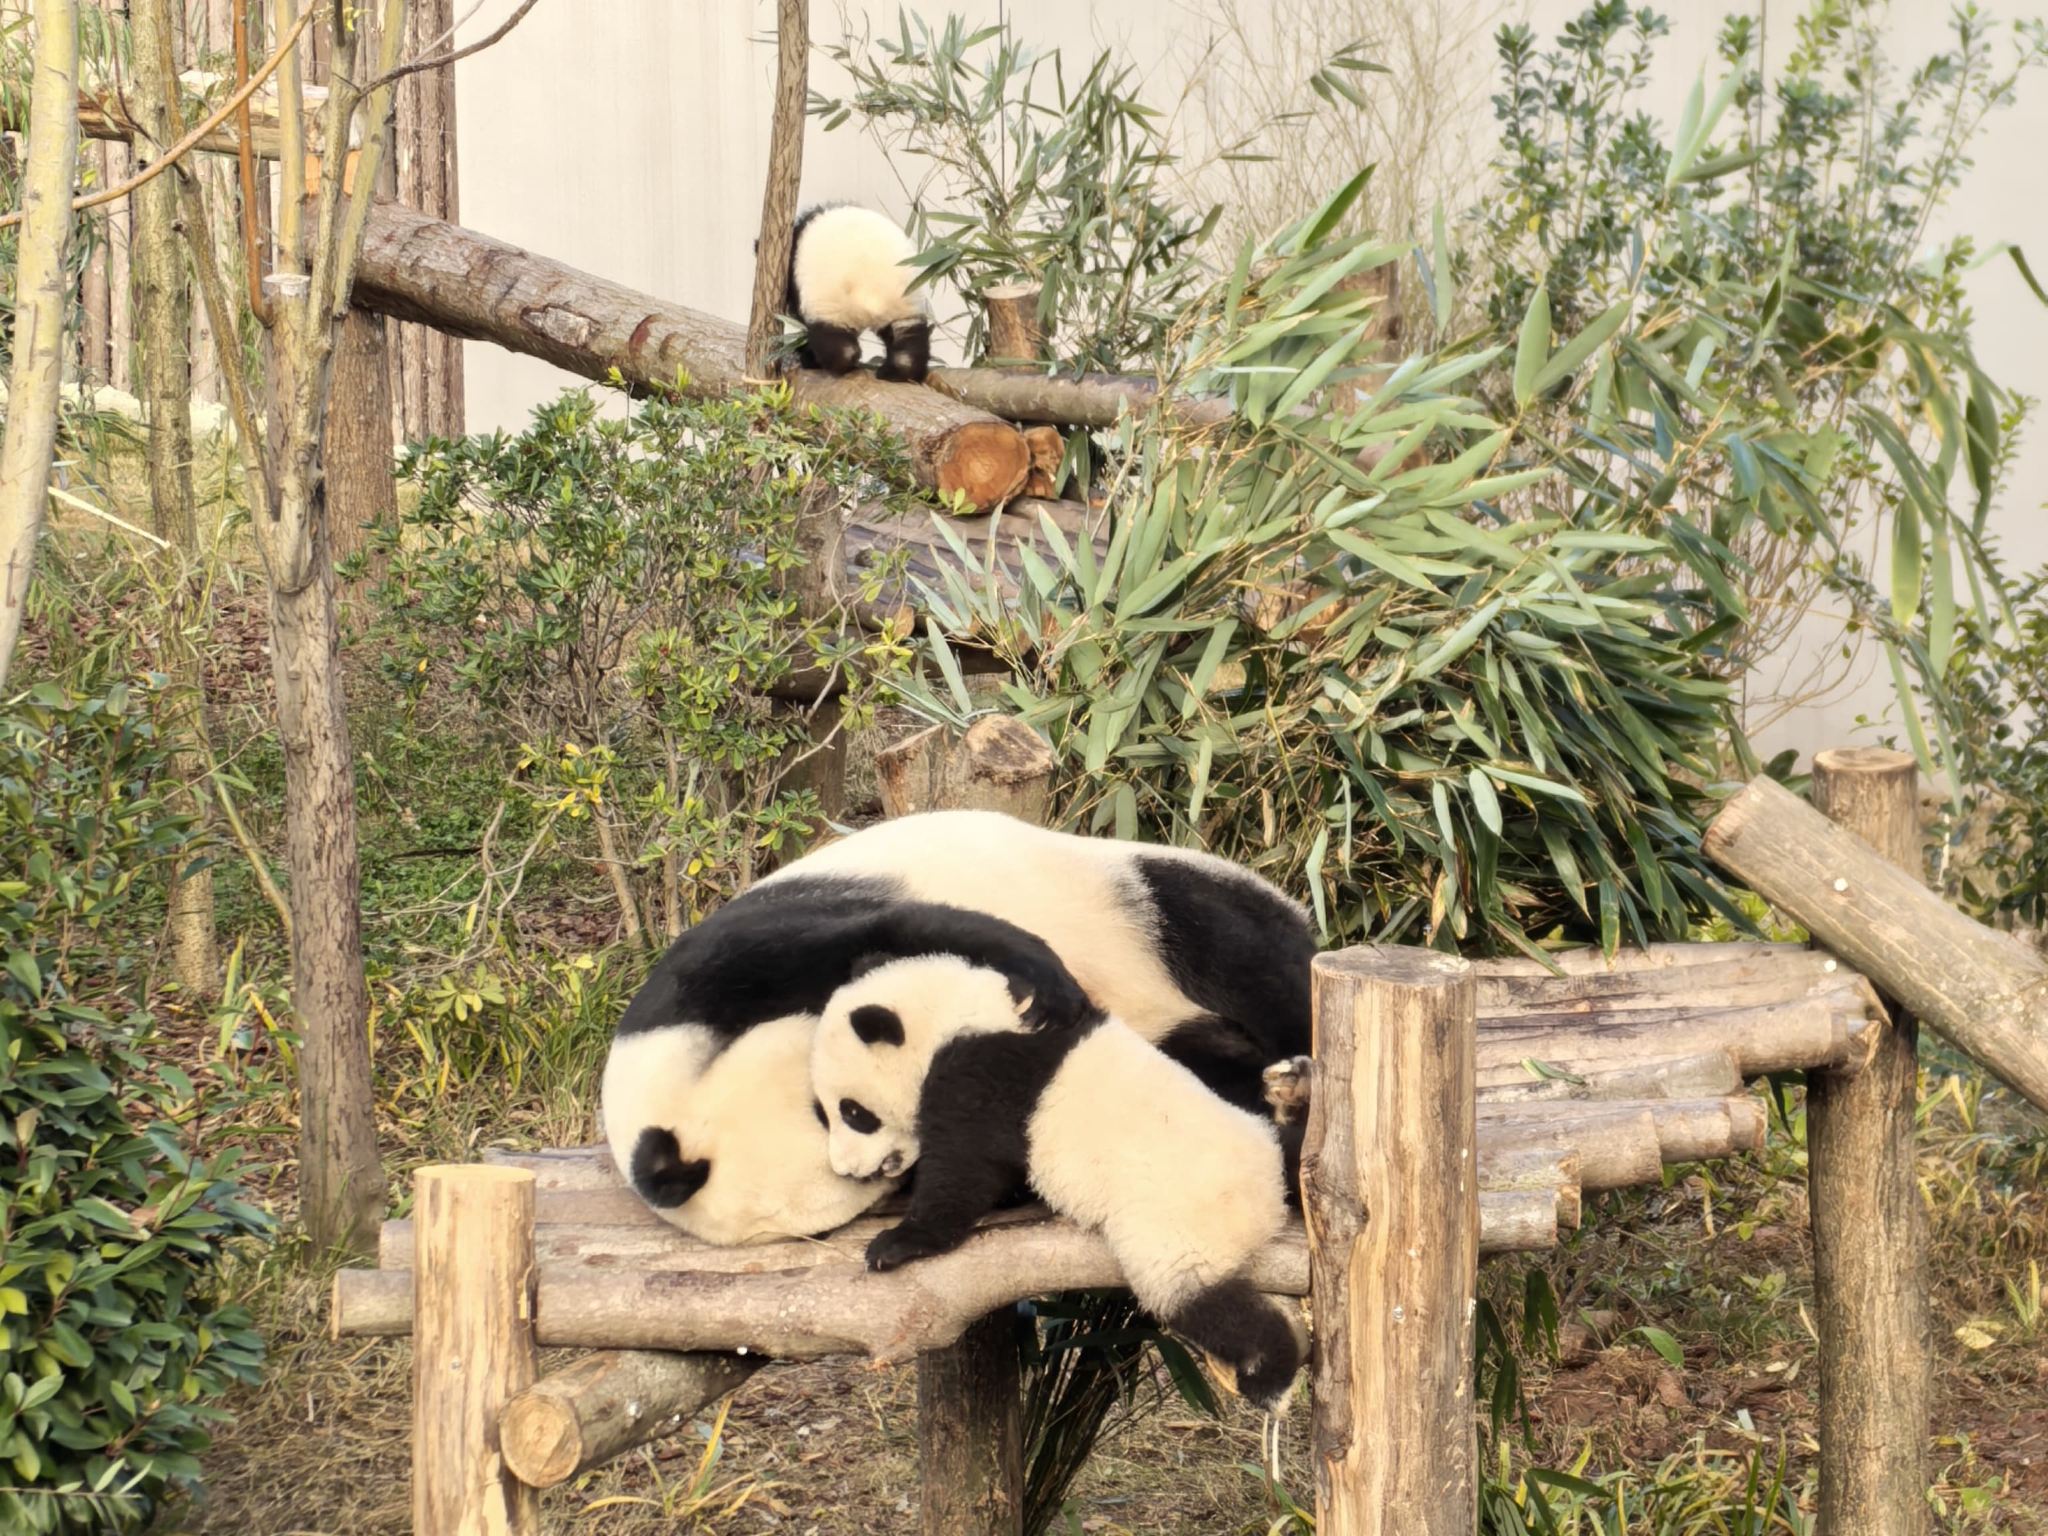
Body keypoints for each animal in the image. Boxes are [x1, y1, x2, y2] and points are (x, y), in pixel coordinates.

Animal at [600, 809, 1316, 1247]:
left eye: (833, 1111)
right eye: (870, 1187)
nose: (883, 1165)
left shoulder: (722, 967)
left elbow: (900, 931)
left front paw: (1044, 980)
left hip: (1132, 898)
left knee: (1242, 948)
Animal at [785, 204, 932, 383]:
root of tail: (872, 297)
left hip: (833, 306)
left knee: (836, 345)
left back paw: (822, 363)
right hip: (906, 301)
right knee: (908, 339)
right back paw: (897, 372)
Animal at [811, 950, 1308, 1414]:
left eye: (853, 1112)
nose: (847, 1169)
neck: (950, 1014)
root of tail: (1268, 1199)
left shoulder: (979, 1077)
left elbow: (963, 1171)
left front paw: (896, 1244)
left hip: (1175, 1226)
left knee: (1200, 1300)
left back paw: (1271, 1378)